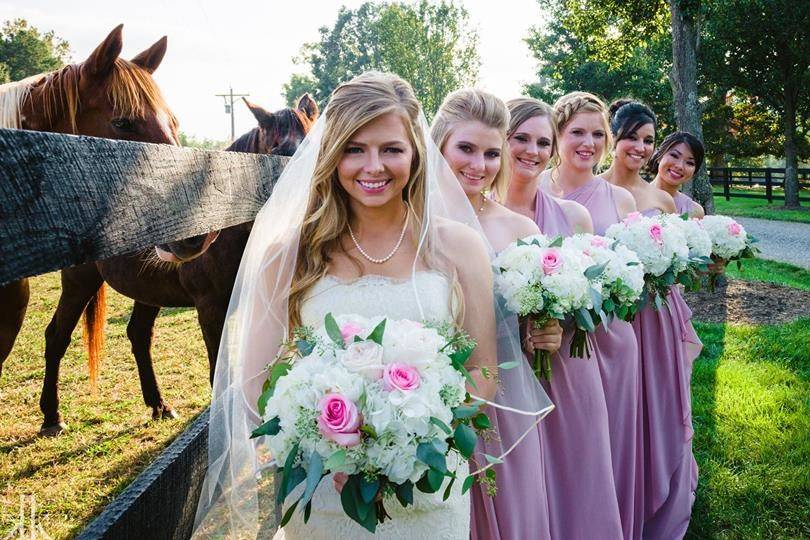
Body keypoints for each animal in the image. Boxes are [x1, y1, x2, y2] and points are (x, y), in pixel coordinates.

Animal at [37, 96, 316, 434]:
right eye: (279, 153)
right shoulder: (211, 309)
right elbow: (218, 373)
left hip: (147, 290)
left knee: (138, 335)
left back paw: (159, 405)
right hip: (79, 282)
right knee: (57, 337)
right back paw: (52, 418)